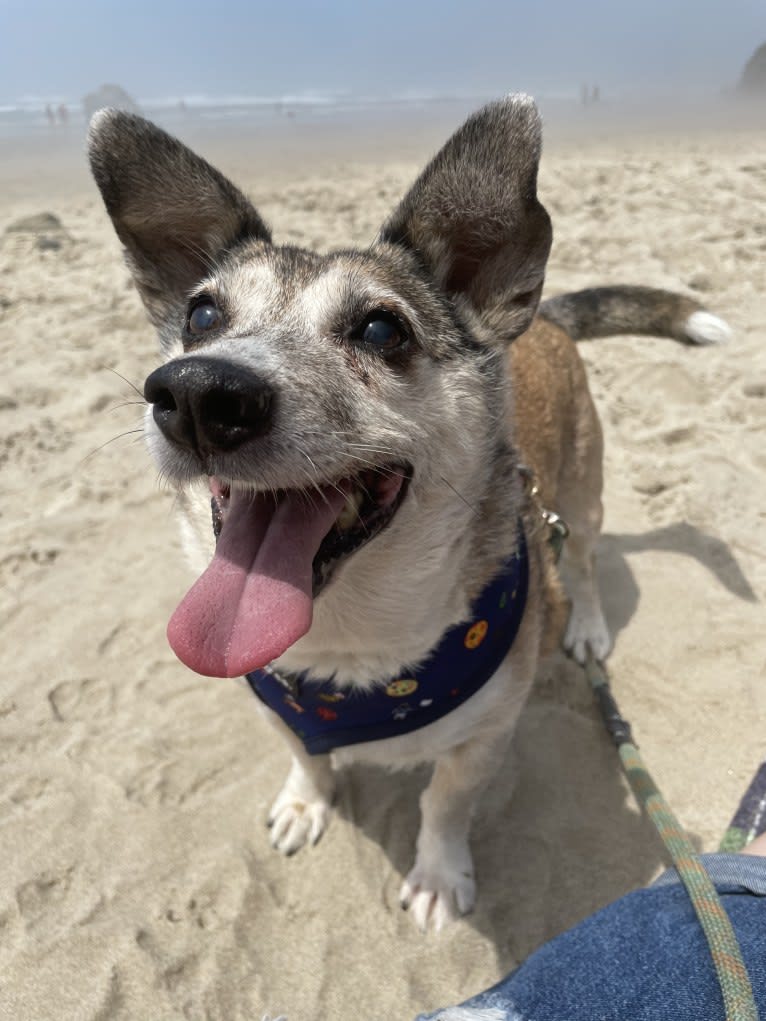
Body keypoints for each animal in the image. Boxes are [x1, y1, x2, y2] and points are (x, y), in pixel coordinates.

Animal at [89, 97, 731, 935]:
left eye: (380, 330)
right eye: (200, 316)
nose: (196, 392)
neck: (349, 655)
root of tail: (544, 318)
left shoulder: (483, 737)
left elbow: (444, 802)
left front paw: (436, 874)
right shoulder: (279, 709)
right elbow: (305, 754)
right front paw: (307, 801)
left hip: (582, 491)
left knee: (586, 559)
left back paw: (587, 627)